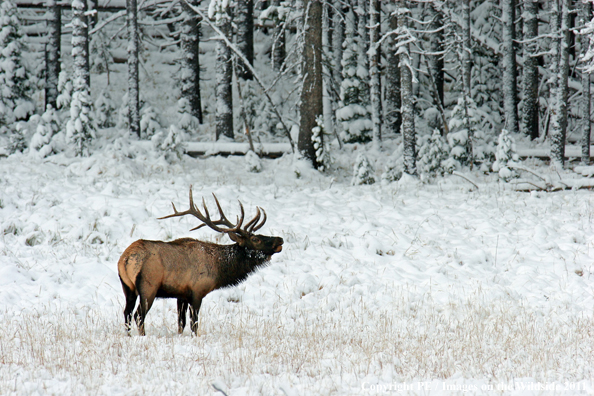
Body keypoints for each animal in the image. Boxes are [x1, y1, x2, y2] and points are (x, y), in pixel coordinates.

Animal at [117, 187, 284, 336]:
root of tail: (126, 259)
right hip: (148, 286)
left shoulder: (181, 295)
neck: (219, 270)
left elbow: (181, 323)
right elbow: (194, 324)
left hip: (128, 287)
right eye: (256, 239)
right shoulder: (197, 291)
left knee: (127, 313)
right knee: (139, 315)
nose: (280, 239)